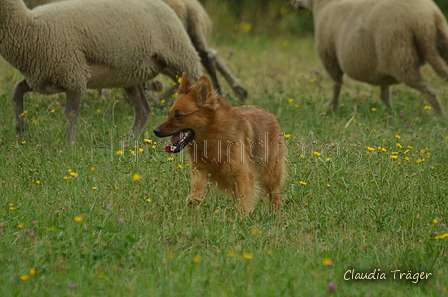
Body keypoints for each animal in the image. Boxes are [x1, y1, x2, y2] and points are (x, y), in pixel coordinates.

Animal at [2, 0, 200, 145]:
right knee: (143, 110)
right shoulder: (42, 78)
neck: (29, 25)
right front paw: (20, 132)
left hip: (180, 55)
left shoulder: (74, 74)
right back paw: (128, 143)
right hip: (131, 75)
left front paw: (69, 146)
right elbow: (17, 90)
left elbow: (70, 114)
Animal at [154, 73, 286, 213]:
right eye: (169, 114)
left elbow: (245, 199)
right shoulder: (200, 168)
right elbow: (197, 183)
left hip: (270, 174)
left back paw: (276, 211)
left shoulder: (242, 174)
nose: (155, 131)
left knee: (274, 194)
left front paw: (243, 215)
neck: (212, 138)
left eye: (178, 115)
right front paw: (194, 197)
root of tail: (269, 113)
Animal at [290, 0, 448, 117]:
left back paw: (440, 117)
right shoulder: (384, 70)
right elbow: (385, 94)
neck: (323, 4)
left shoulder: (330, 58)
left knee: (429, 91)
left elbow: (336, 85)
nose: (293, 3)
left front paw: (331, 108)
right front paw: (391, 113)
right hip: (438, 43)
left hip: (400, 57)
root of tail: (425, 18)